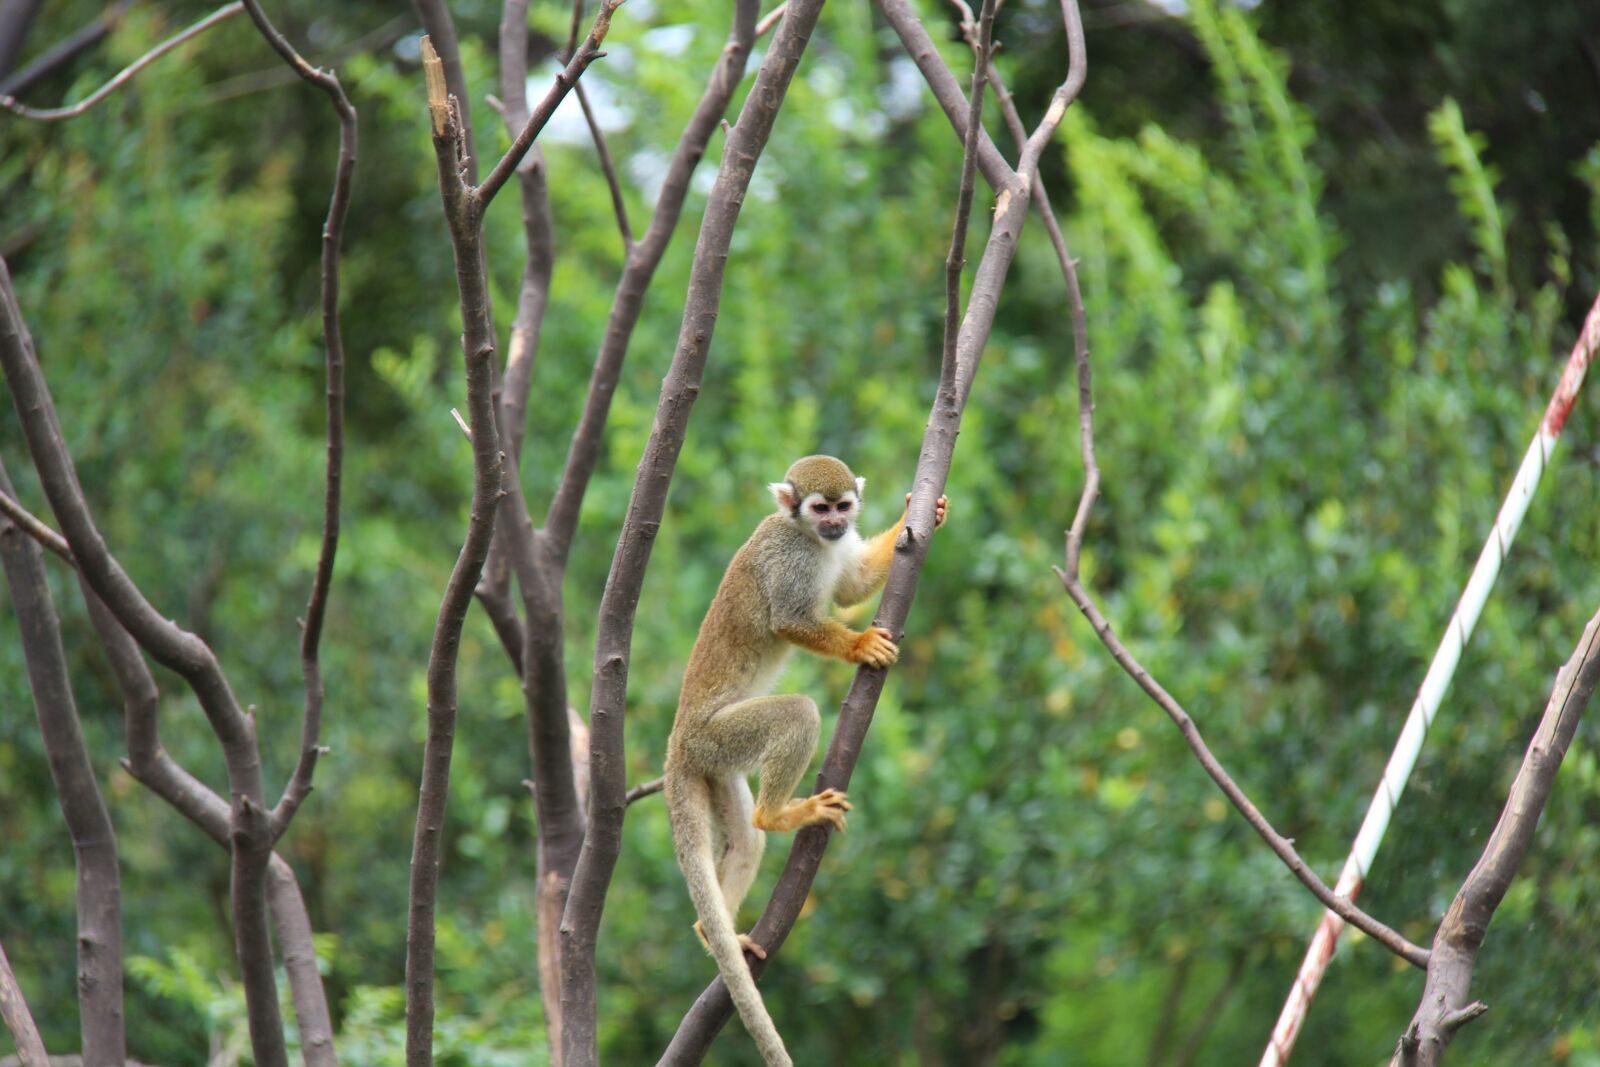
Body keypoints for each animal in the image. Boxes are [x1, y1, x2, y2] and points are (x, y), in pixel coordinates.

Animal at [665, 454, 947, 1062]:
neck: (810, 539)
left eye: (844, 506)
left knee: (746, 841)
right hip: (718, 738)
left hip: (715, 765)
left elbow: (852, 587)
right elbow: (790, 621)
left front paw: (920, 512)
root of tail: (677, 747)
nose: (837, 523)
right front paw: (860, 646)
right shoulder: (788, 559)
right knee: (797, 714)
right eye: (820, 509)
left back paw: (713, 930)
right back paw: (778, 814)